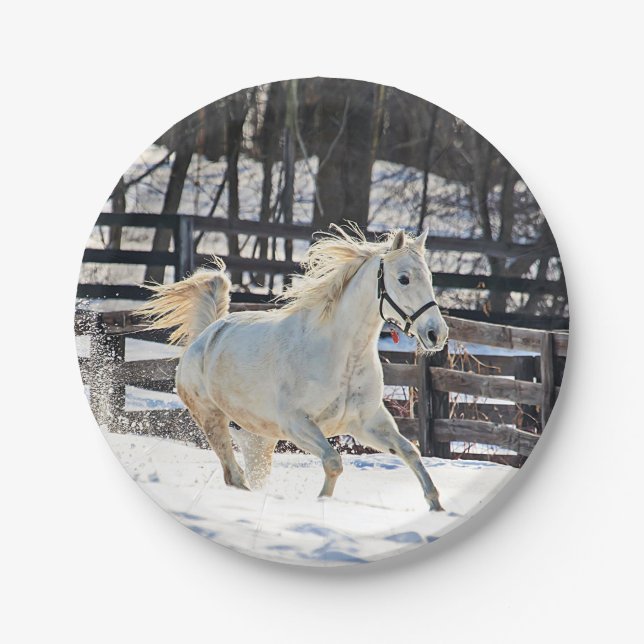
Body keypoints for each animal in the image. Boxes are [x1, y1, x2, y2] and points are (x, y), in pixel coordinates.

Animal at [140, 225, 449, 510]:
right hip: (211, 418)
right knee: (233, 475)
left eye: (430, 277)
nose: (437, 334)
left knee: (247, 473)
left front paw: (436, 506)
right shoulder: (296, 424)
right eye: (404, 279)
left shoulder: (367, 423)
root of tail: (205, 336)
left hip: (259, 438)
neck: (342, 356)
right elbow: (333, 461)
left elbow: (410, 452)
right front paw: (322, 502)